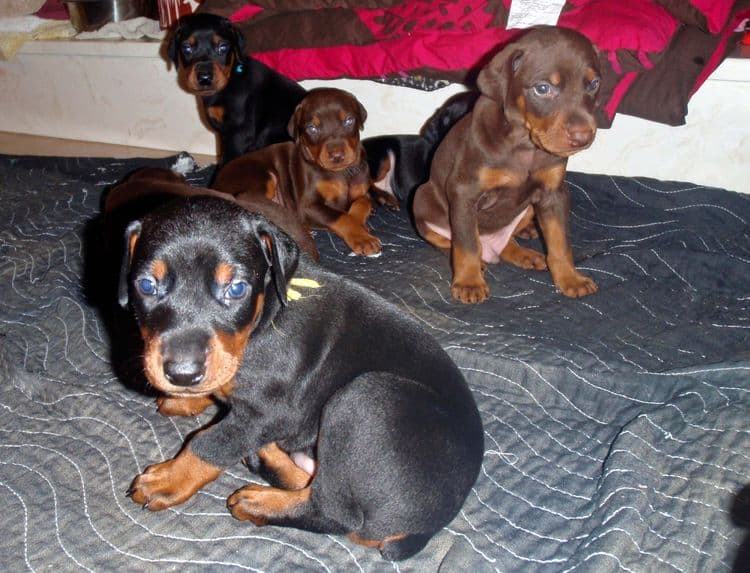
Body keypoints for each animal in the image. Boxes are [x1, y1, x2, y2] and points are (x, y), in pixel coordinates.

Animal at [169, 12, 306, 164]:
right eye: (187, 48)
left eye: (223, 47)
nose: (204, 78)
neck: (230, 79)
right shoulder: (223, 134)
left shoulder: (238, 134)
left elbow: (227, 162)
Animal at [212, 86, 394, 255]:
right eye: (312, 128)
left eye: (349, 121)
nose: (337, 156)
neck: (342, 173)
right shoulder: (309, 204)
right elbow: (341, 217)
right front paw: (362, 238)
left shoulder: (360, 191)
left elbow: (362, 202)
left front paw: (361, 225)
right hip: (262, 177)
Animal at [414, 25, 604, 304]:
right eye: (543, 88)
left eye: (593, 84)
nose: (583, 137)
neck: (524, 145)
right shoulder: (465, 192)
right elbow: (467, 245)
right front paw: (469, 282)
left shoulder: (554, 194)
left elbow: (560, 242)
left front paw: (570, 278)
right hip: (421, 198)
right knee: (453, 242)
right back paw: (479, 263)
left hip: (528, 209)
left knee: (506, 244)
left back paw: (525, 254)